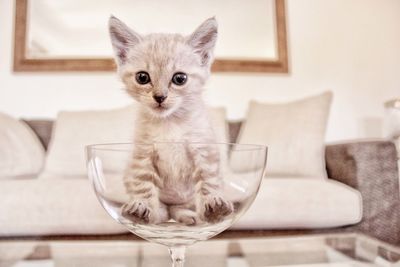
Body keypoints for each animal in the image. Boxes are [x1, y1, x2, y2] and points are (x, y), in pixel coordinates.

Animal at [109, 16, 234, 225]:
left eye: (180, 78)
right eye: (142, 77)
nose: (160, 97)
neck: (170, 123)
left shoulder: (204, 148)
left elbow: (208, 179)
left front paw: (213, 204)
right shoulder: (142, 154)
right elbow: (143, 184)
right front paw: (142, 207)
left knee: (178, 208)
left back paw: (189, 215)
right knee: (166, 212)